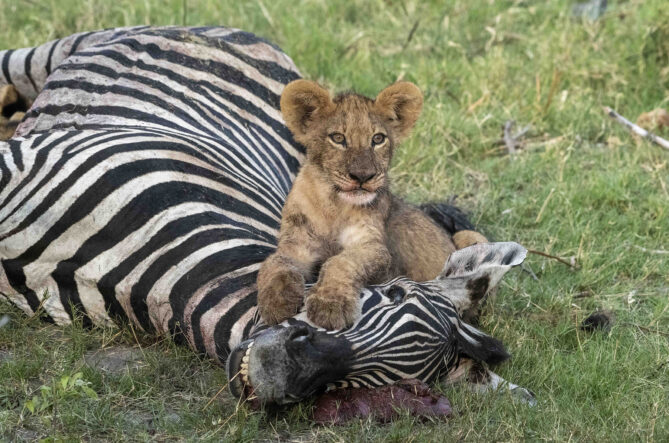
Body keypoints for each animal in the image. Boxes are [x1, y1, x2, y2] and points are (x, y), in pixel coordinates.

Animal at [257, 80, 487, 330]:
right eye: (338, 138)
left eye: (377, 139)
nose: (363, 176)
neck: (333, 206)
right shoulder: (297, 245)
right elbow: (274, 263)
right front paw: (277, 302)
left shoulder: (378, 252)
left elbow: (342, 261)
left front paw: (330, 305)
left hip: (471, 237)